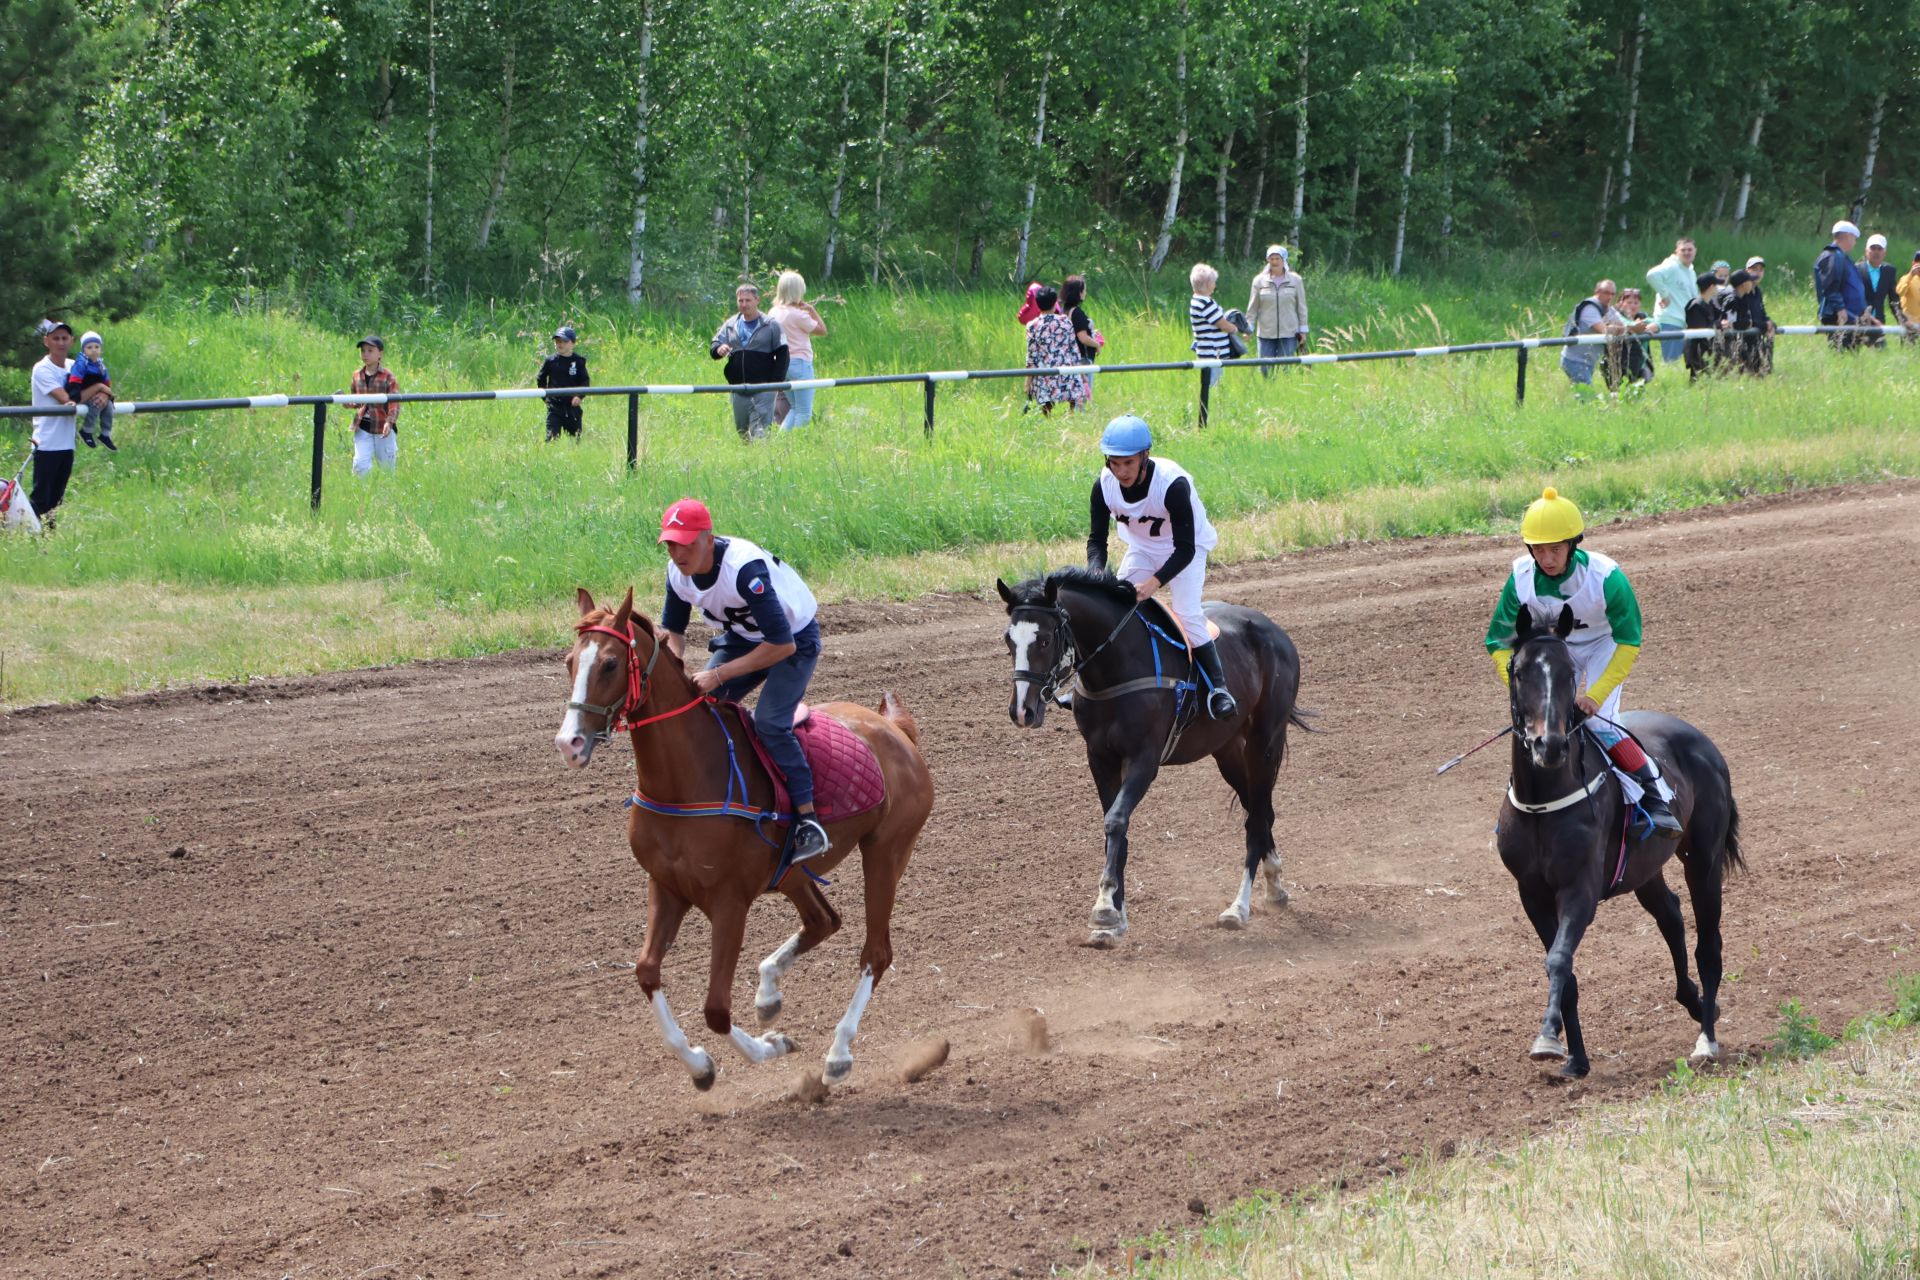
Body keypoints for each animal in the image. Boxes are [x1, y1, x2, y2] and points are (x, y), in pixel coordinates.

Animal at [552, 591, 933, 1090]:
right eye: (569, 661)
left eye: (611, 663)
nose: (570, 743)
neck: (687, 779)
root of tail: (896, 731)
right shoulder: (666, 886)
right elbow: (647, 971)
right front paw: (701, 1065)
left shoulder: (729, 901)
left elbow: (715, 1008)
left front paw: (770, 1047)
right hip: (791, 872)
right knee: (824, 921)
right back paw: (769, 994)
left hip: (887, 852)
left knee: (876, 953)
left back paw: (838, 1052)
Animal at [998, 568, 1313, 940]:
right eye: (1008, 641)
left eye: (1045, 640)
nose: (1022, 711)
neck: (1115, 667)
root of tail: (1276, 631)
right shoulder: (1099, 758)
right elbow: (1114, 830)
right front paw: (1115, 918)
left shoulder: (1144, 759)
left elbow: (1116, 821)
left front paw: (1104, 909)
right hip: (1228, 750)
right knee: (1261, 810)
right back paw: (1275, 887)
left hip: (1264, 742)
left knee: (1256, 817)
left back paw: (1238, 907)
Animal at [1505, 610, 1751, 1082]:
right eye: (1520, 671)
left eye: (1569, 673)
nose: (1549, 745)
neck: (1544, 799)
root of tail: (1701, 739)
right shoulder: (1532, 894)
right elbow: (1565, 970)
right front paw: (1576, 1060)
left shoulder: (1579, 891)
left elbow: (1559, 959)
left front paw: (1547, 1039)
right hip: (1644, 868)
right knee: (1671, 915)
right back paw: (1693, 1002)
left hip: (1703, 860)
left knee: (1708, 943)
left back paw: (1707, 1039)